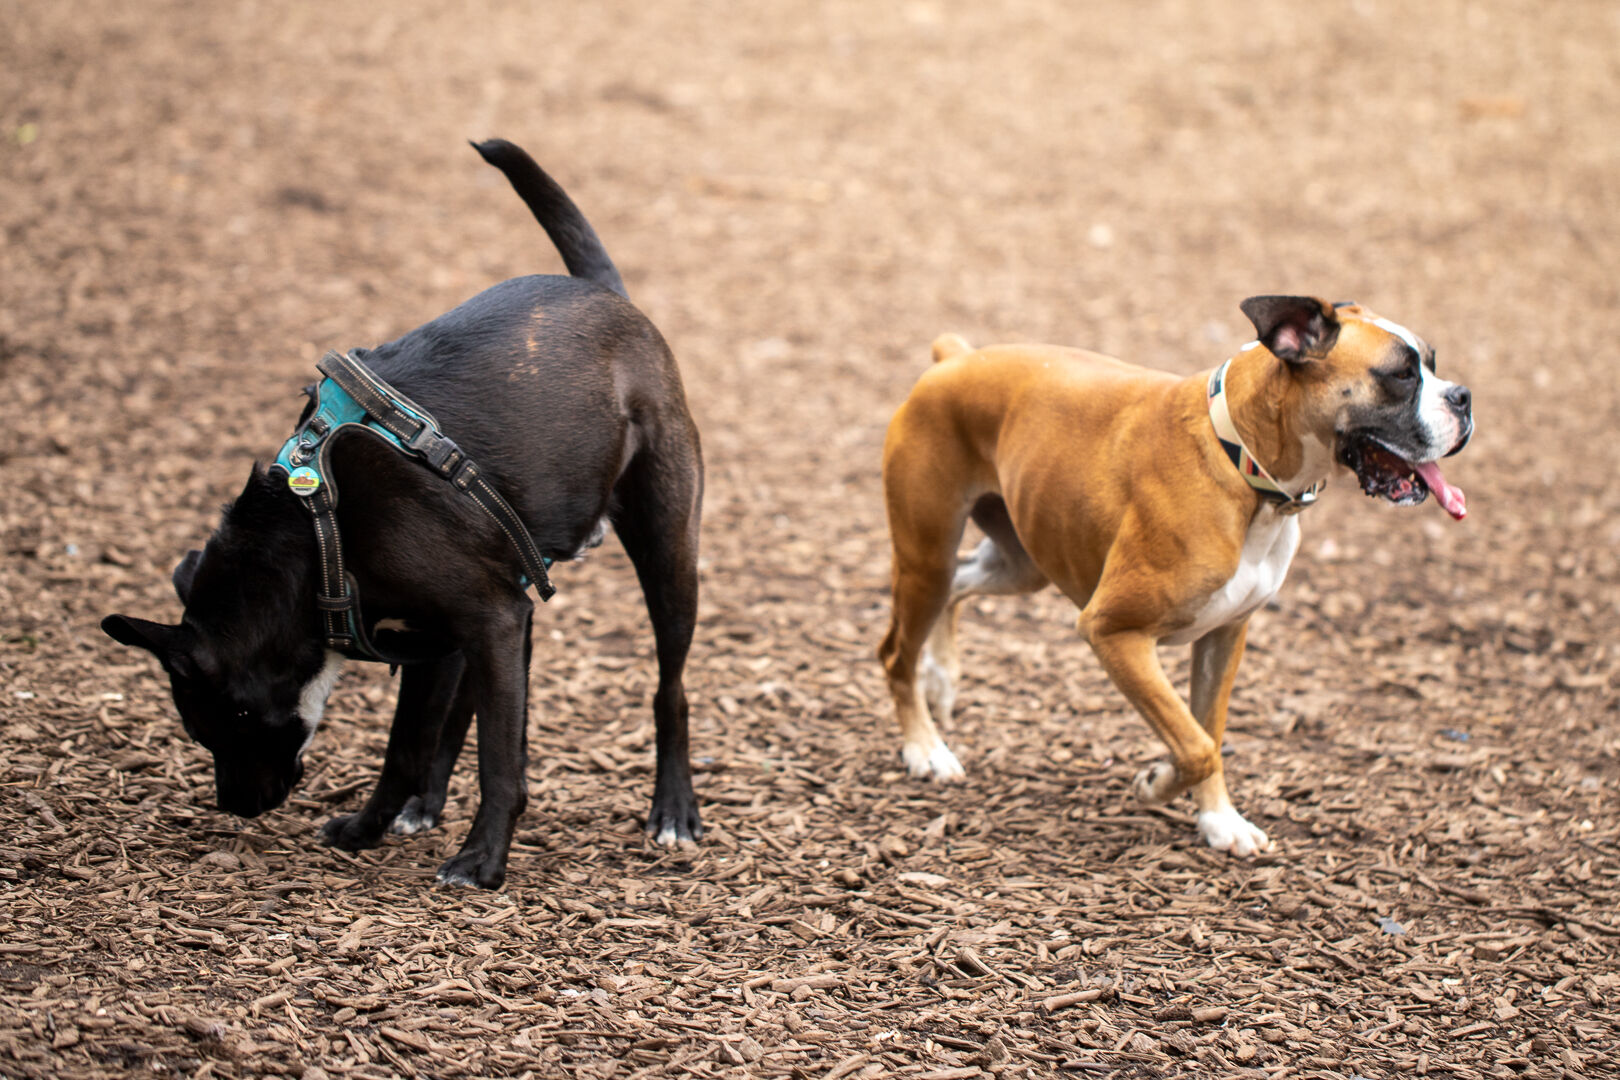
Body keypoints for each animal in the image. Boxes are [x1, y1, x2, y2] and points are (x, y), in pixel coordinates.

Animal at [102, 140, 704, 888]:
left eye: (219, 726)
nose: (235, 806)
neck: (316, 532)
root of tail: (608, 294)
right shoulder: (453, 633)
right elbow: (414, 745)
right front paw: (372, 826)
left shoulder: (487, 620)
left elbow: (496, 759)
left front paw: (482, 860)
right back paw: (426, 807)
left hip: (667, 556)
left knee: (670, 689)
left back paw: (673, 810)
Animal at [878, 297, 1472, 855]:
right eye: (1401, 375)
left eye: (1433, 364)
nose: (1464, 397)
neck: (1241, 459)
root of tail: (955, 359)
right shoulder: (1113, 633)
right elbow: (1196, 746)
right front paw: (1156, 781)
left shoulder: (1223, 637)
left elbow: (1208, 731)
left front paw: (1219, 821)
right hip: (926, 558)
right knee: (895, 653)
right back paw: (925, 748)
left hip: (1020, 563)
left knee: (959, 586)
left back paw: (942, 678)